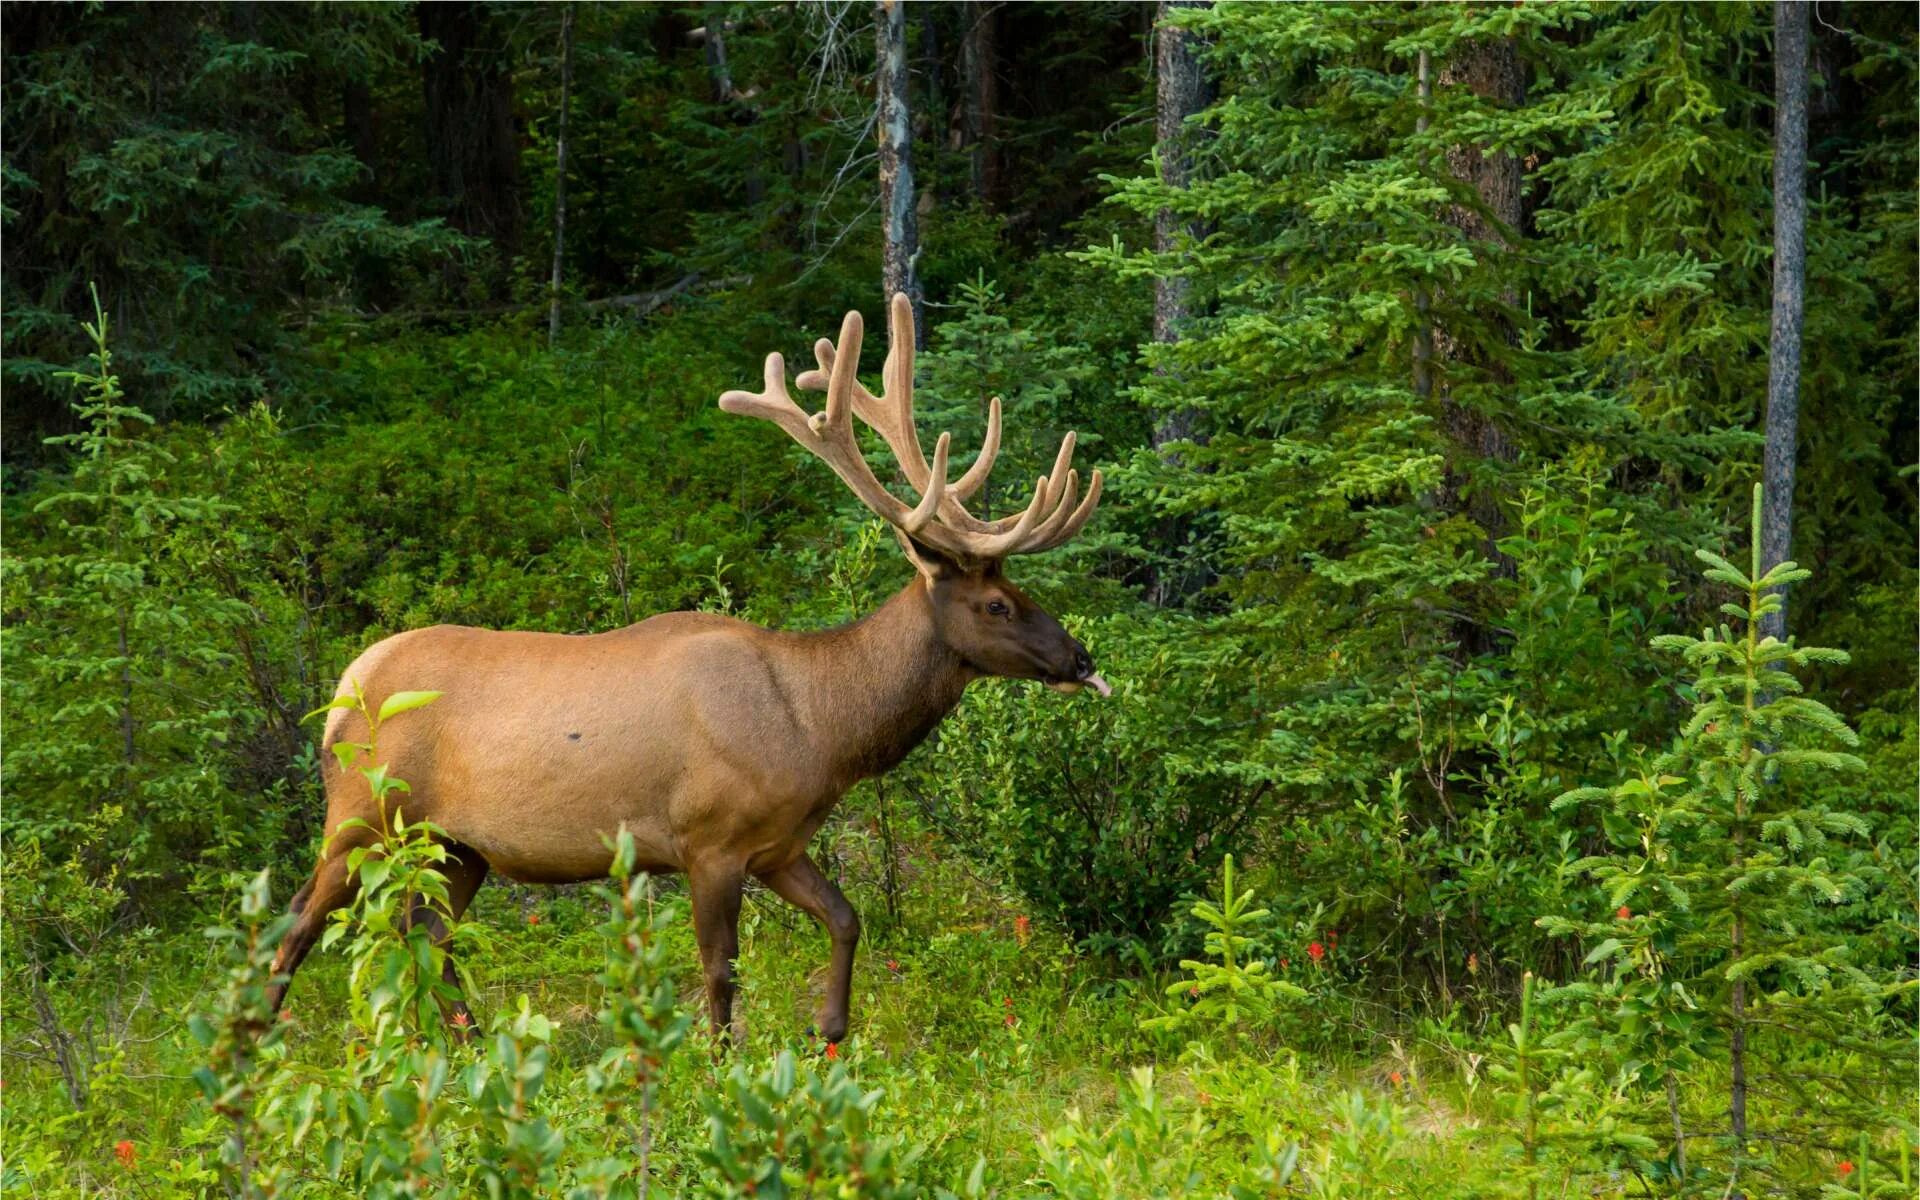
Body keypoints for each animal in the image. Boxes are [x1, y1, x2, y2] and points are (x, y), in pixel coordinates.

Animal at [268, 289, 1113, 1036]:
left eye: (1020, 589)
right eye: (996, 604)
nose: (1080, 657)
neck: (821, 729)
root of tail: (341, 691)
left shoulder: (780, 845)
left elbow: (847, 918)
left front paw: (831, 1031)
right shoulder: (710, 839)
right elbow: (720, 970)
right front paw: (719, 1065)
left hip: (459, 846)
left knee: (428, 937)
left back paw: (468, 1044)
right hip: (360, 814)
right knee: (296, 926)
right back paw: (264, 1047)